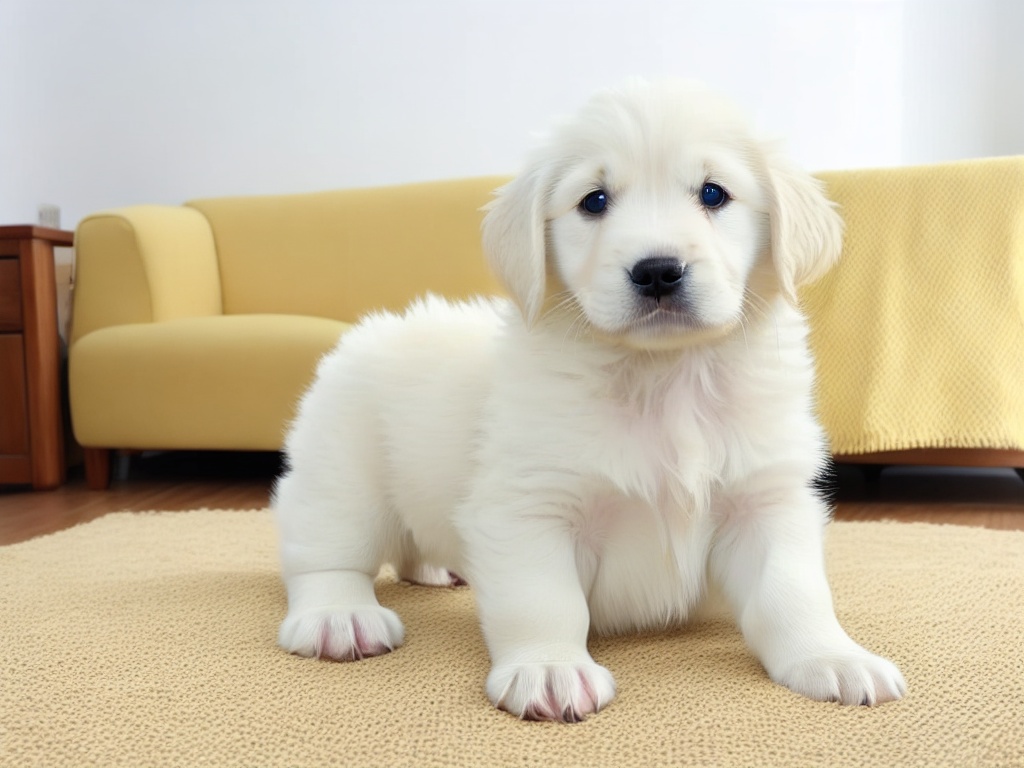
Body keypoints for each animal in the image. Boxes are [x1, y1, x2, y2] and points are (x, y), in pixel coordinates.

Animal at [274, 81, 905, 724]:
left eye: (713, 193)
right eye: (594, 201)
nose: (658, 272)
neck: (665, 378)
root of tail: (364, 332)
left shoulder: (767, 501)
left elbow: (792, 594)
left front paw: (831, 657)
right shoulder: (530, 506)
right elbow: (544, 600)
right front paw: (549, 668)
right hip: (344, 479)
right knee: (322, 557)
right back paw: (338, 617)